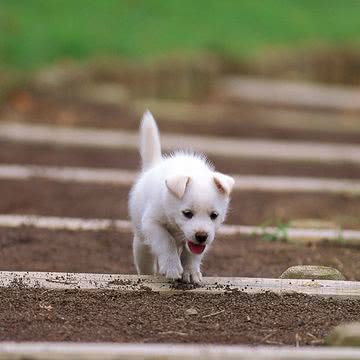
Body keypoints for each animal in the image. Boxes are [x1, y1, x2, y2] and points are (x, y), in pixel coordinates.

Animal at [128, 111, 235, 282]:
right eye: (187, 213)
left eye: (214, 215)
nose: (201, 236)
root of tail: (152, 167)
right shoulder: (152, 223)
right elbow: (166, 241)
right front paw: (171, 267)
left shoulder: (203, 240)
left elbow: (192, 254)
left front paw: (190, 271)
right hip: (141, 243)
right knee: (146, 261)